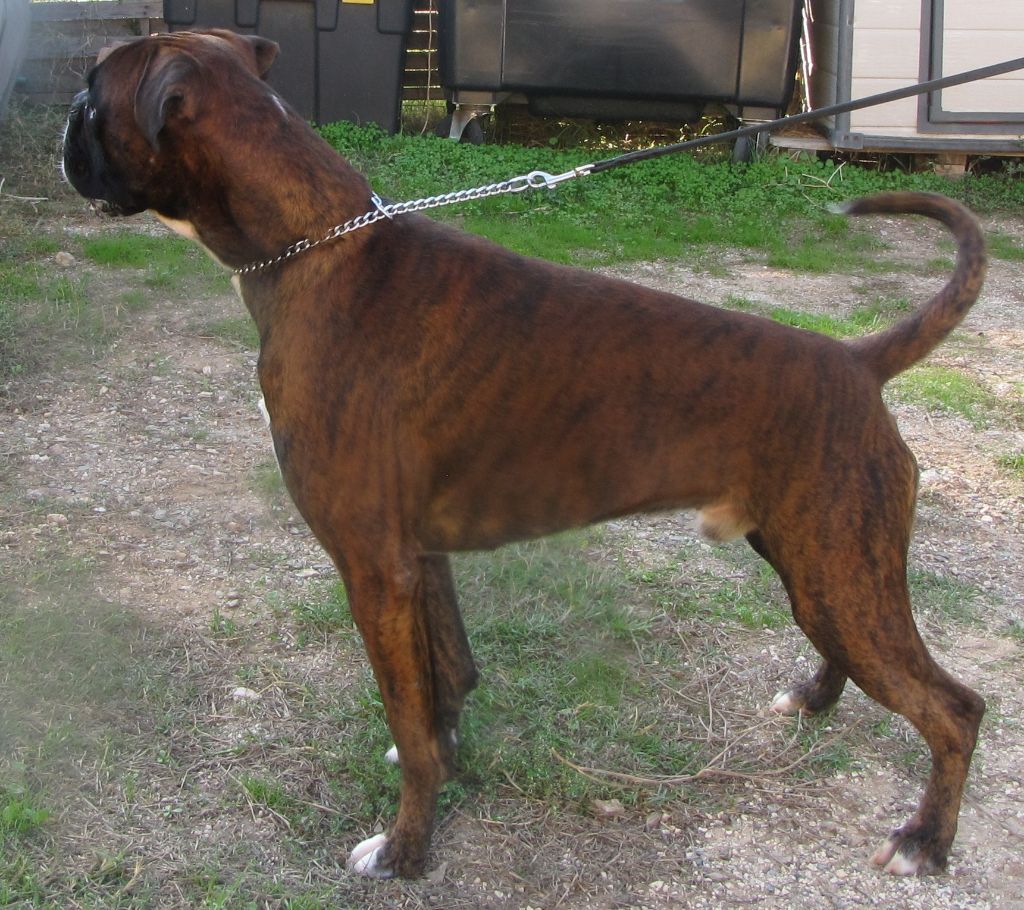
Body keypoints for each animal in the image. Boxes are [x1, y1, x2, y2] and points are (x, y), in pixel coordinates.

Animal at [59, 28, 987, 880]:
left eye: (91, 91)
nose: (63, 130)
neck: (315, 244)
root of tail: (856, 361)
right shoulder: (417, 559)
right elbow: (444, 680)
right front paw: (445, 759)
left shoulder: (372, 569)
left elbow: (407, 715)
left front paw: (405, 850)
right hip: (819, 565)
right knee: (853, 650)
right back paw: (817, 699)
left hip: (838, 567)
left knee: (956, 707)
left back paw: (924, 841)